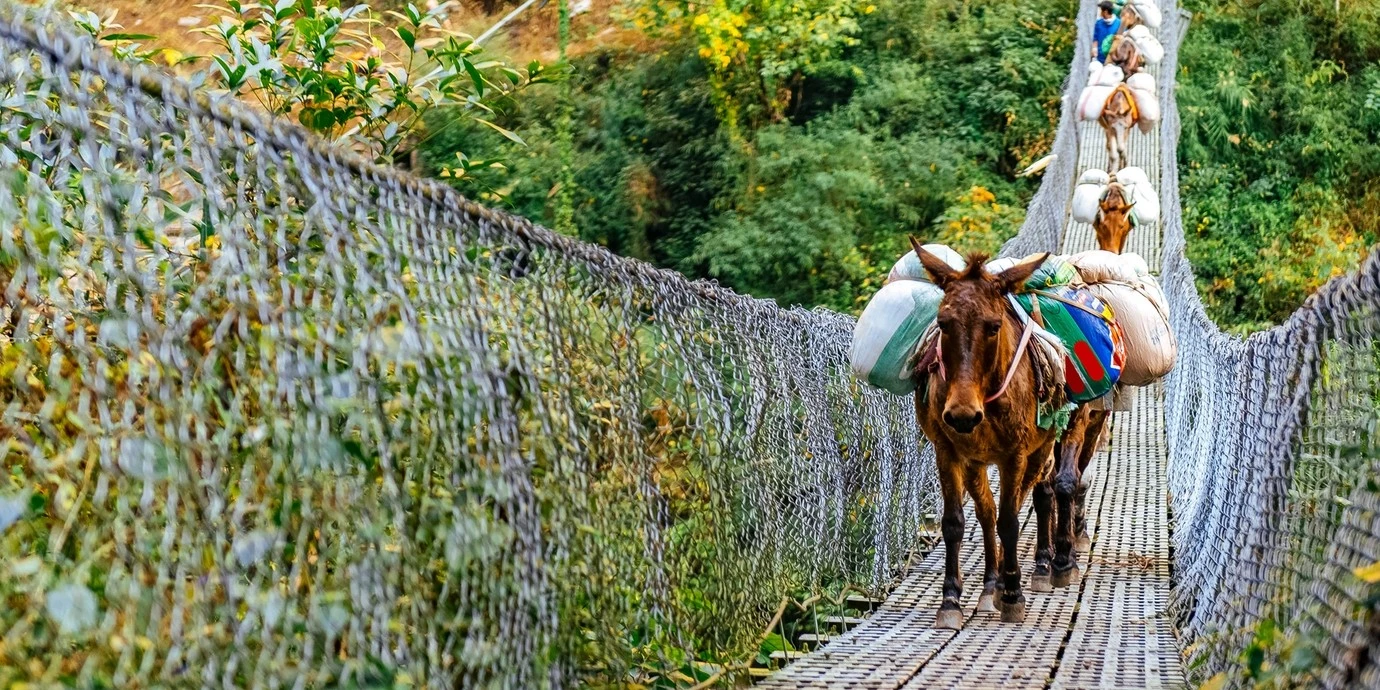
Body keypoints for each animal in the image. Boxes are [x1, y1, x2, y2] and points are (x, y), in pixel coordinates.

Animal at [912, 241, 1062, 629]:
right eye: (943, 323)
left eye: (993, 326)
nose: (963, 415)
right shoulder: (948, 451)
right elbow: (955, 522)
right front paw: (951, 600)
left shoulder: (1015, 454)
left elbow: (1011, 521)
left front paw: (1013, 595)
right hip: (977, 460)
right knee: (987, 512)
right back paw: (990, 585)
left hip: (1042, 447)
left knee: (1039, 496)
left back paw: (1038, 567)